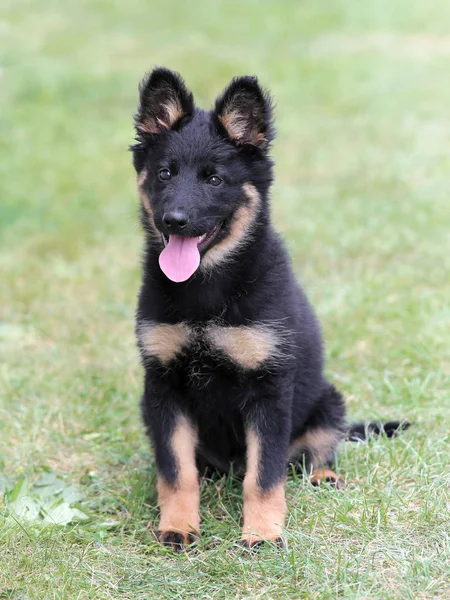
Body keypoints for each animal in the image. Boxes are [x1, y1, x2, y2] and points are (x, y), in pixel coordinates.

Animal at [129, 68, 408, 552]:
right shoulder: (164, 388)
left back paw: (324, 476)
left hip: (327, 401)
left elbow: (263, 475)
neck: (208, 289)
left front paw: (261, 534)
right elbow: (177, 471)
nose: (174, 220)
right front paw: (179, 525)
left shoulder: (269, 391)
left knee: (317, 450)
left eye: (215, 180)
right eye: (164, 173)